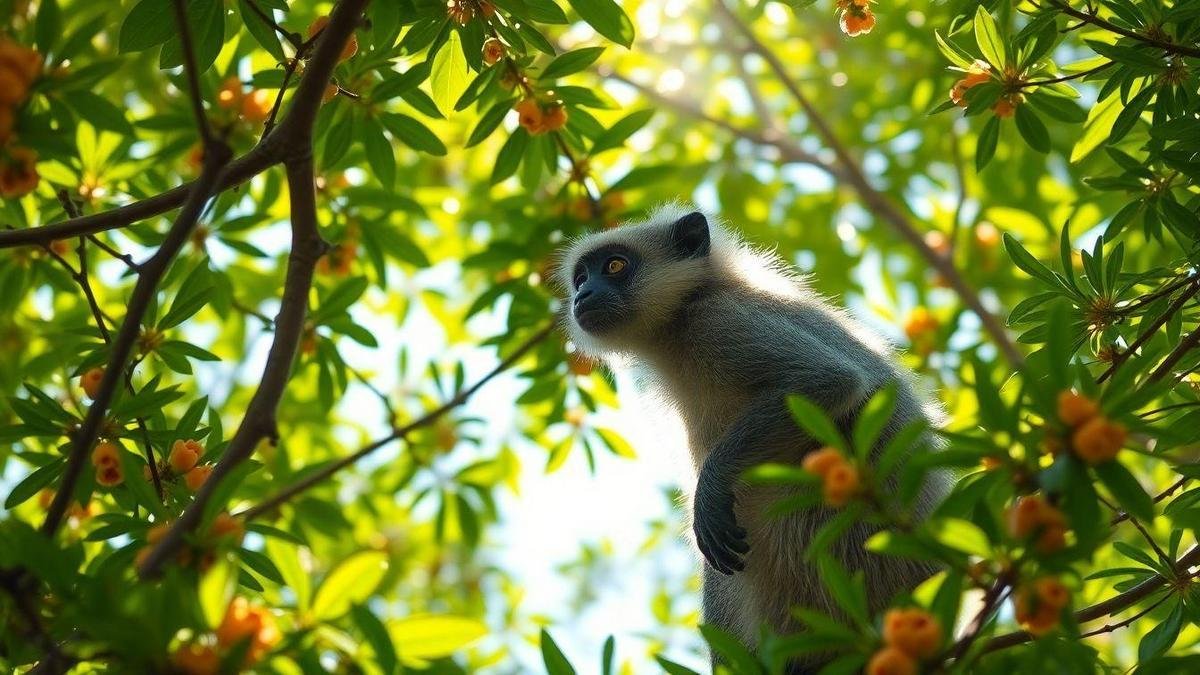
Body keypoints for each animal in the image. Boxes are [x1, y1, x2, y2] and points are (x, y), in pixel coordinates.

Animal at [554, 204, 945, 667]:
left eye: (615, 266)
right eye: (581, 277)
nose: (582, 295)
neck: (679, 322)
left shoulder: (720, 321)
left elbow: (830, 381)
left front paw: (710, 491)